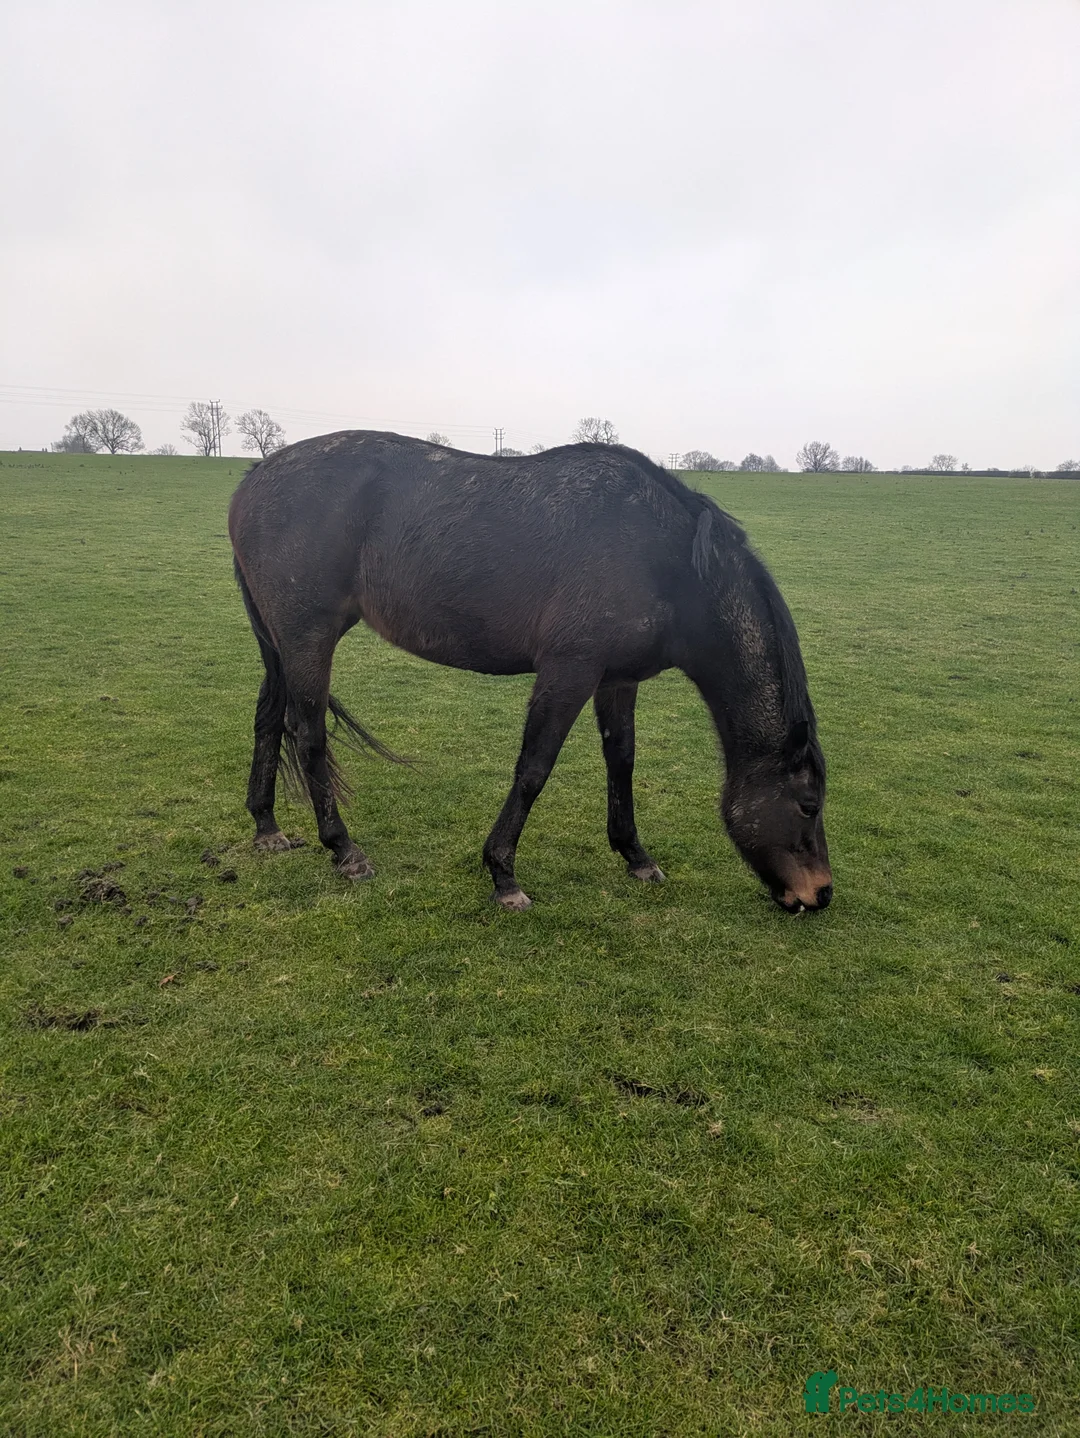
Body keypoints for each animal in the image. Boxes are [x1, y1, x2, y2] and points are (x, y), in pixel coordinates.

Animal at [228, 431, 832, 914]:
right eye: (808, 805)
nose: (820, 893)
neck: (669, 560)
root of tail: (253, 479)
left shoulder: (616, 680)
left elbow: (622, 760)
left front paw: (636, 856)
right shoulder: (570, 670)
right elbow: (534, 769)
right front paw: (503, 874)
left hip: (280, 645)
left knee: (268, 718)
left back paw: (267, 826)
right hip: (308, 638)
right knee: (307, 735)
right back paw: (344, 849)